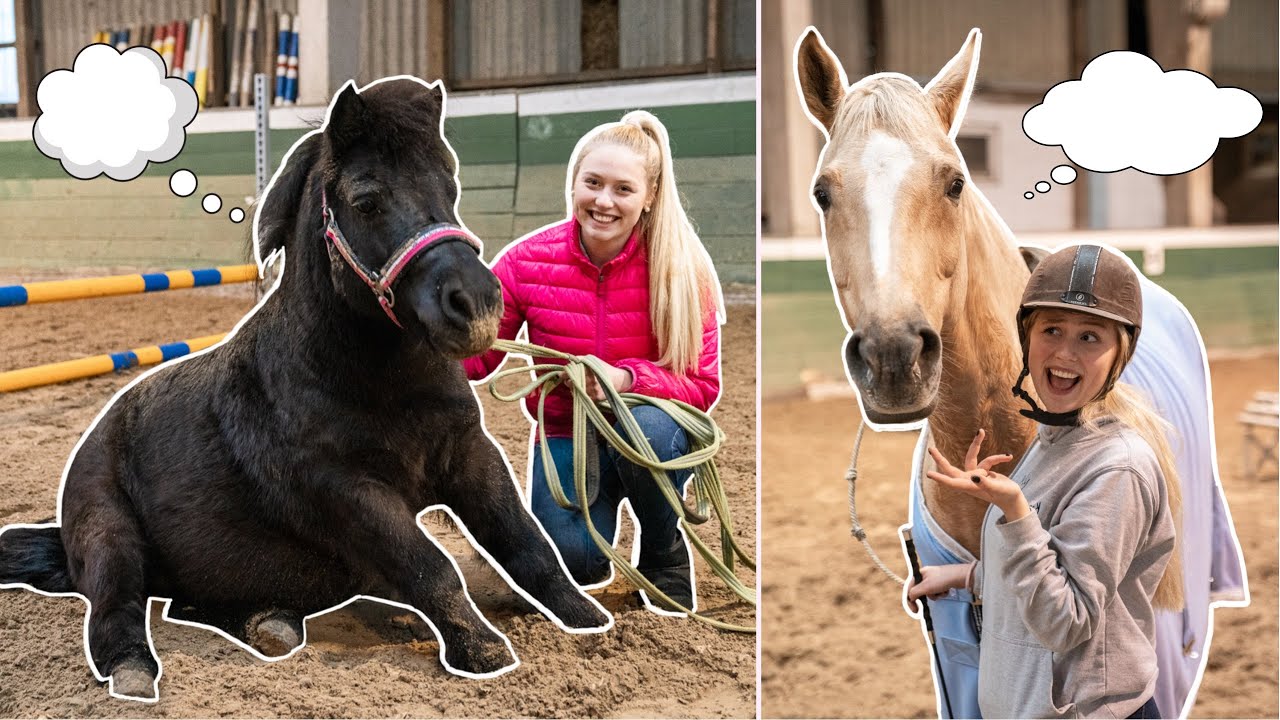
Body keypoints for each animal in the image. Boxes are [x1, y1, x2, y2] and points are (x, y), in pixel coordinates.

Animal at [0, 75, 609, 696]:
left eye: (450, 186)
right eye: (366, 201)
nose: (478, 305)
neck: (364, 379)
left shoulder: (470, 453)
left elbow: (524, 541)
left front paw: (588, 619)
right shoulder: (343, 488)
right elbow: (429, 565)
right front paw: (483, 651)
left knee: (192, 603)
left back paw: (269, 622)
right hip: (108, 532)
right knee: (115, 607)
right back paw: (138, 667)